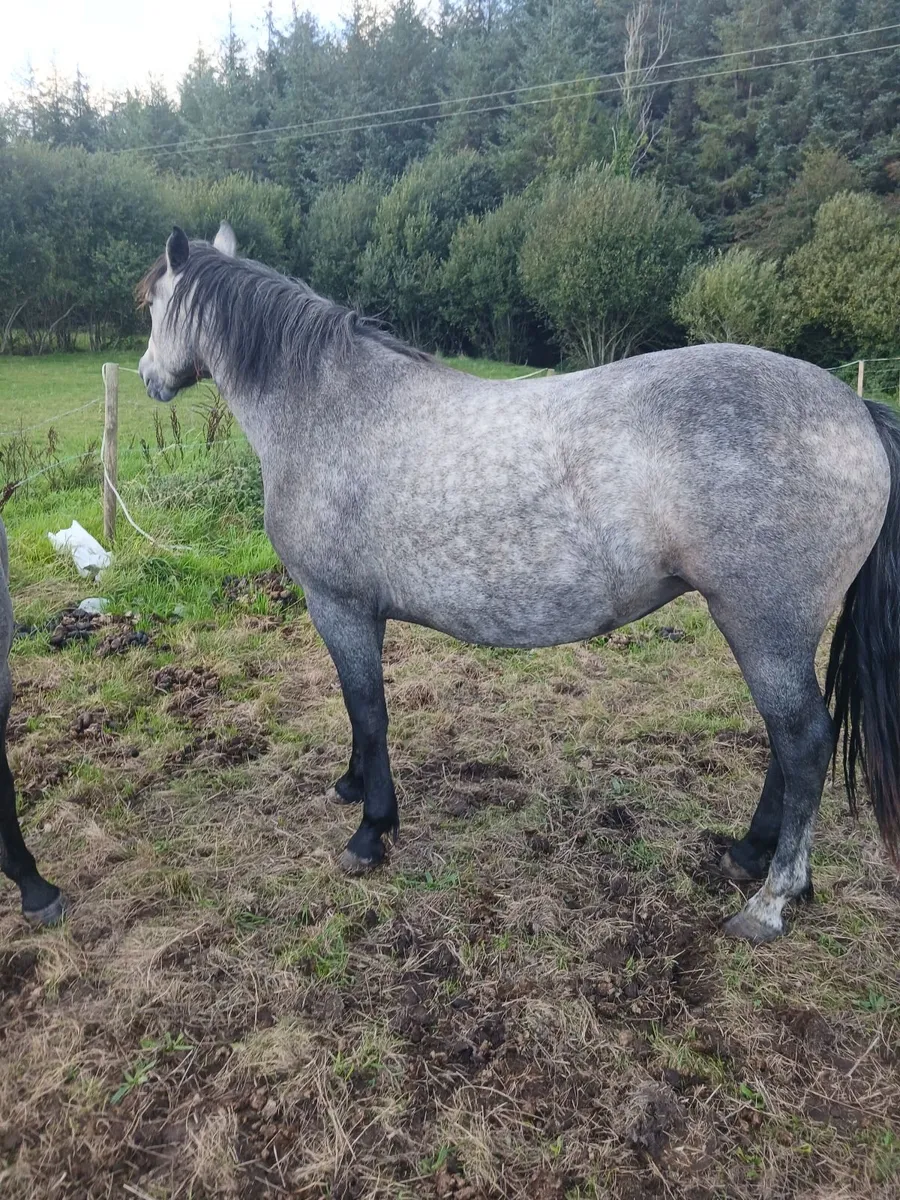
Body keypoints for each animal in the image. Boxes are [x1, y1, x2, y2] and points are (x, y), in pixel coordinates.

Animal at [137, 223, 900, 943]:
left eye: (152, 305)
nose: (148, 376)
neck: (329, 409)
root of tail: (854, 408)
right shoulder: (354, 612)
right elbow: (360, 714)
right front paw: (352, 787)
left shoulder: (339, 606)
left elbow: (368, 710)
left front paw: (371, 831)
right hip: (772, 630)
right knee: (788, 740)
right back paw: (747, 853)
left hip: (763, 625)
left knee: (803, 741)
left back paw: (771, 899)